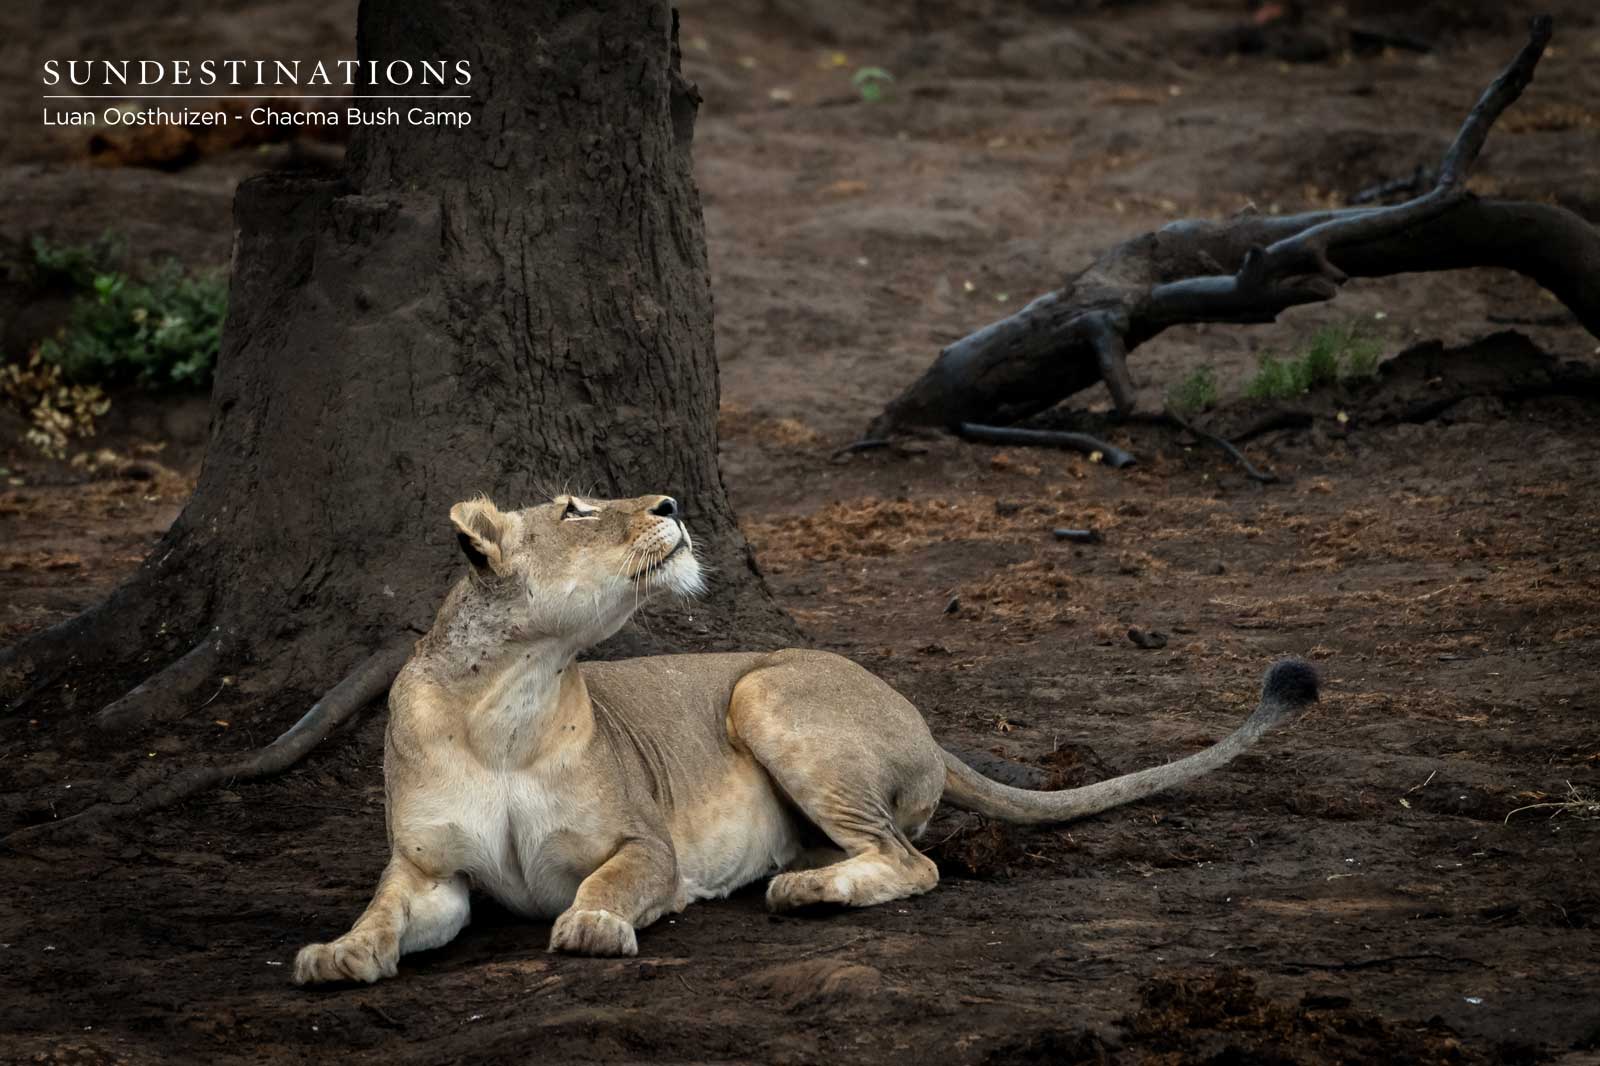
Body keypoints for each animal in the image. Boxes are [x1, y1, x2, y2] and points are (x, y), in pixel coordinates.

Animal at [293, 491, 1318, 984]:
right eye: (575, 509)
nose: (669, 505)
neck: (508, 698)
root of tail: (925, 721)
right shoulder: (430, 871)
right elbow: (385, 911)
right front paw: (337, 956)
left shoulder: (646, 845)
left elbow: (608, 884)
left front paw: (589, 925)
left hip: (762, 689)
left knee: (912, 861)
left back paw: (803, 890)